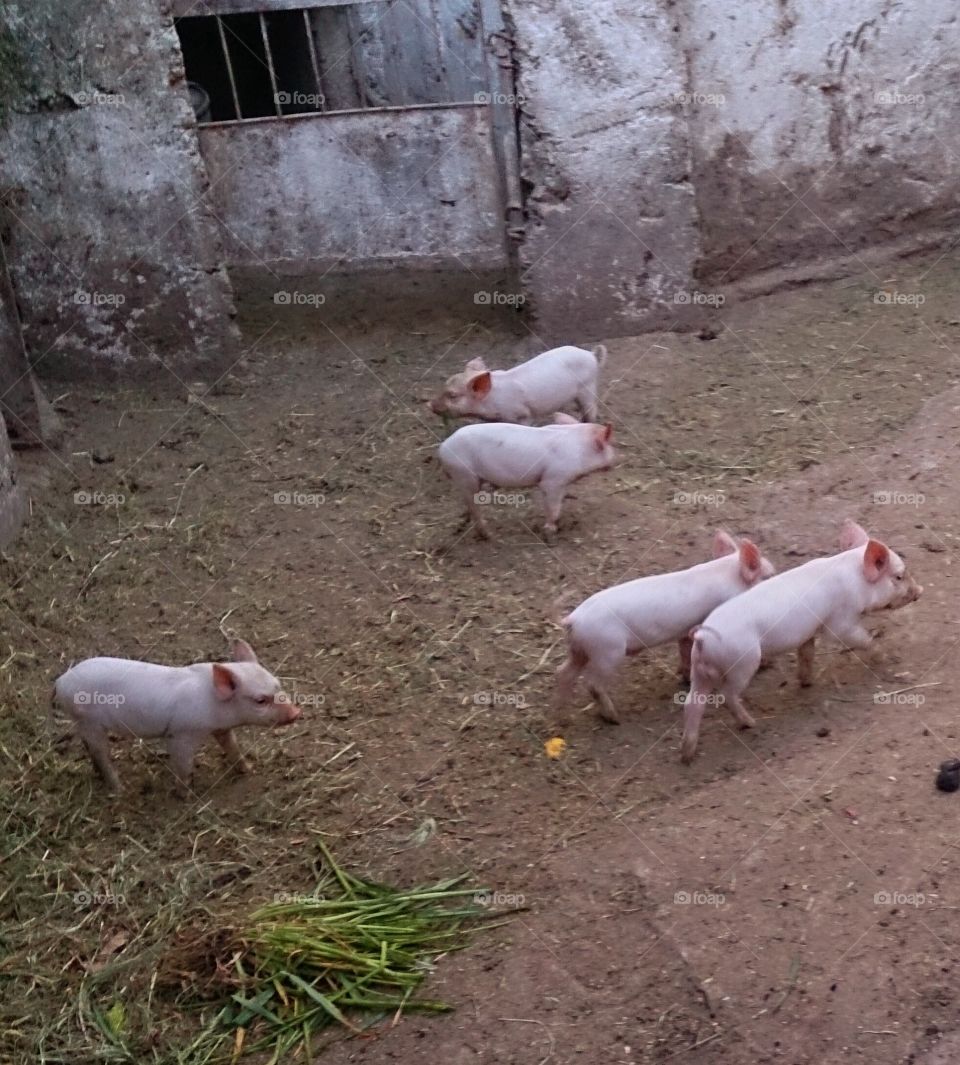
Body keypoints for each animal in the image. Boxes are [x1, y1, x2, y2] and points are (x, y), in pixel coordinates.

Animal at [53, 639, 301, 795]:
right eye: (260, 701)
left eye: (278, 685)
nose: (296, 712)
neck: (213, 702)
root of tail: (60, 681)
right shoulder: (180, 733)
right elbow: (183, 765)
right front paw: (185, 794)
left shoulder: (221, 728)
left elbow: (233, 747)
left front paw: (248, 769)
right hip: (89, 721)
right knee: (100, 753)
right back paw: (120, 790)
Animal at [429, 344, 607, 424]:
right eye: (444, 386)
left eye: (452, 395)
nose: (429, 404)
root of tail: (591, 354)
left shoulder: (522, 413)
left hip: (588, 387)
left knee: (592, 410)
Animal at [437, 414, 615, 539]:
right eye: (609, 445)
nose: (617, 457)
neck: (579, 448)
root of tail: (443, 447)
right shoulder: (553, 480)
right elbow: (552, 506)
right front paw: (550, 531)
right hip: (464, 473)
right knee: (473, 504)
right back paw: (488, 535)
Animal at [555, 530, 775, 723]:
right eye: (768, 576)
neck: (730, 575)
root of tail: (574, 619)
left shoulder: (686, 630)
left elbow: (685, 650)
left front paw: (686, 678)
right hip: (607, 651)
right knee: (592, 683)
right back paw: (614, 718)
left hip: (580, 650)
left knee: (562, 672)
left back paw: (564, 716)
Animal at [680, 520, 922, 763]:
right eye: (899, 577)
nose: (920, 591)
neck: (856, 580)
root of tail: (703, 636)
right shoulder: (840, 621)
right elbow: (860, 638)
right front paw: (885, 657)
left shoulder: (808, 631)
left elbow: (806, 653)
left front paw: (806, 682)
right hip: (743, 663)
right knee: (727, 695)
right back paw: (750, 723)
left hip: (698, 670)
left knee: (692, 703)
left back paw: (687, 755)